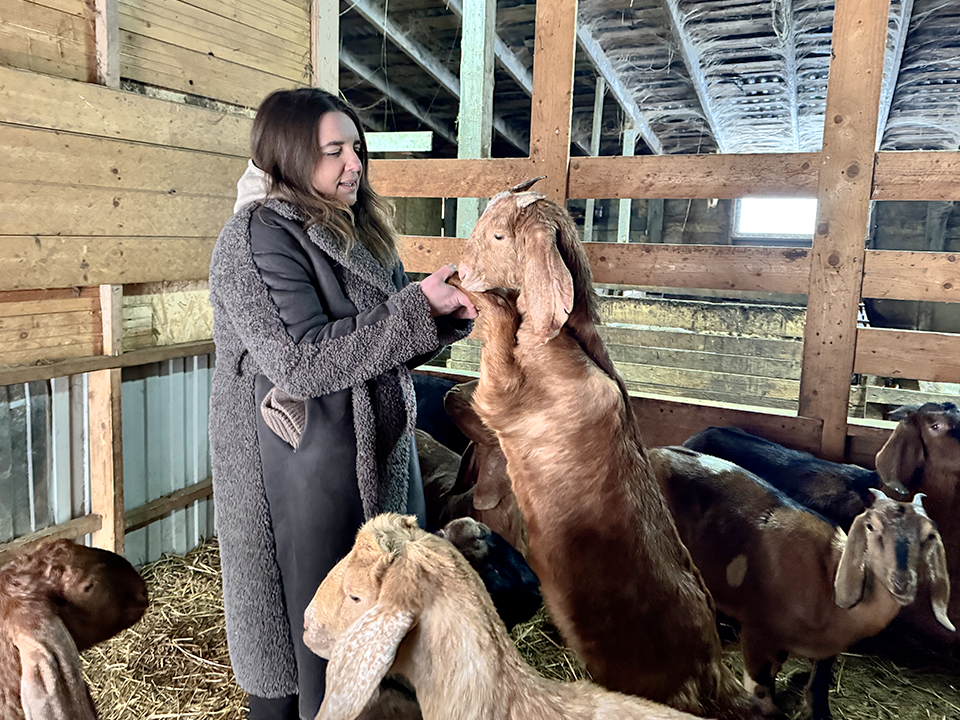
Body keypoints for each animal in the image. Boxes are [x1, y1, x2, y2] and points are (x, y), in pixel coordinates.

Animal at [458, 176, 756, 720]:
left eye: (498, 237)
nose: (462, 269)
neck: (566, 343)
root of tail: (713, 673)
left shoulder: (504, 398)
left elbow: (498, 337)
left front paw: (480, 297)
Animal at [652, 448, 952, 716]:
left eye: (929, 535)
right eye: (871, 526)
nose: (902, 582)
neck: (827, 581)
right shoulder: (757, 632)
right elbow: (762, 694)